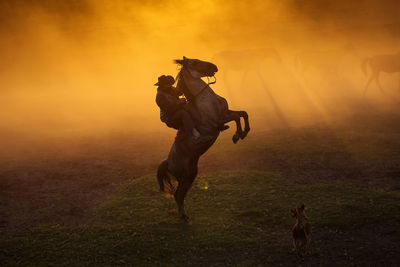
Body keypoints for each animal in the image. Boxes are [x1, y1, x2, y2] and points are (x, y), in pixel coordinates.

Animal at [157, 56, 248, 224]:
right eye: (194, 62)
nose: (214, 66)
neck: (204, 99)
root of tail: (168, 162)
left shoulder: (225, 113)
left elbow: (243, 114)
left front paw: (243, 133)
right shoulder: (219, 120)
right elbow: (237, 117)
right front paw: (237, 135)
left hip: (190, 175)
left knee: (179, 195)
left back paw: (184, 216)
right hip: (184, 177)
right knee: (178, 195)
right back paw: (183, 218)